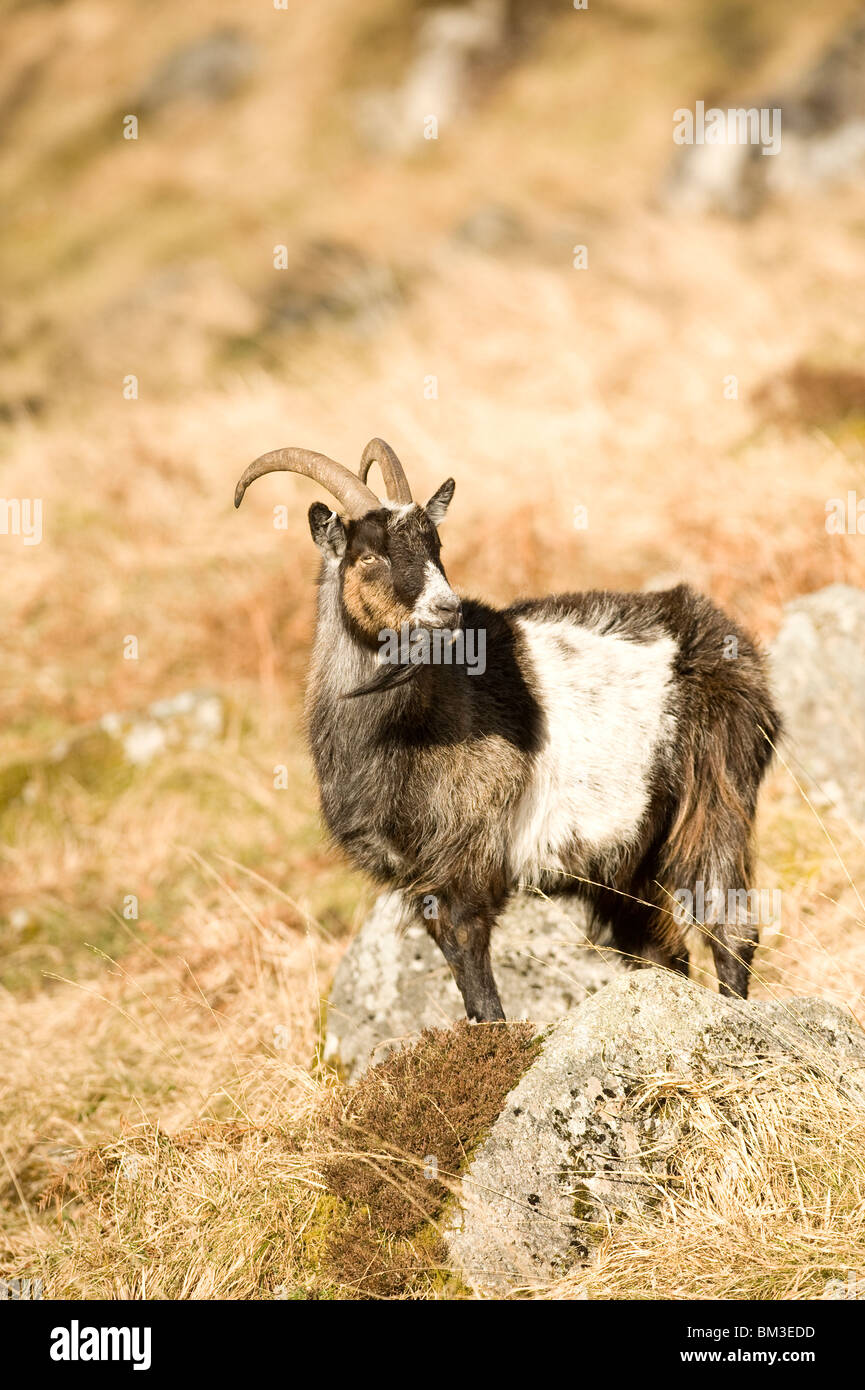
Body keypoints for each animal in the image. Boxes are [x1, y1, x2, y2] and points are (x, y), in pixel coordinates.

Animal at [234, 438, 781, 1022]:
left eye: (435, 544)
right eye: (368, 556)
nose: (447, 609)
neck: (406, 726)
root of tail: (727, 640)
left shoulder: (468, 856)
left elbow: (473, 963)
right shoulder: (421, 876)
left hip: (716, 797)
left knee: (730, 925)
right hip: (626, 857)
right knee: (662, 949)